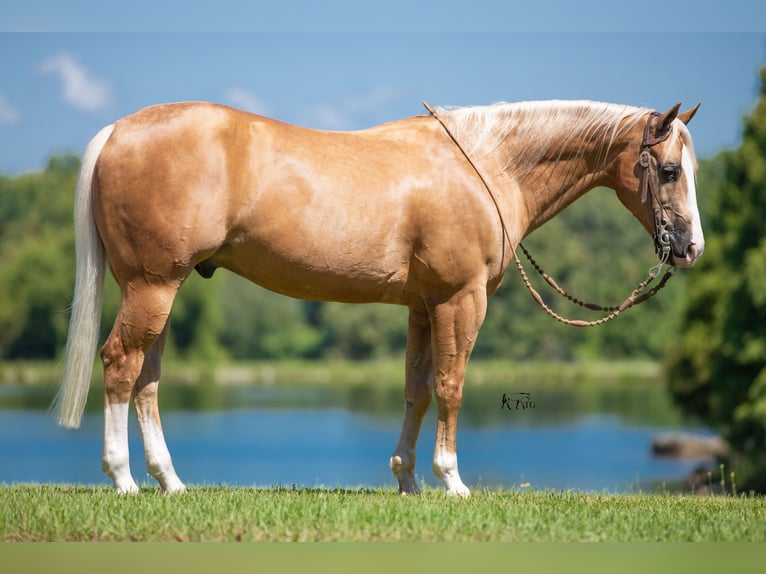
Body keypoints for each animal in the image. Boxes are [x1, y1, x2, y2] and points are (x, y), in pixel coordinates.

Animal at [54, 98, 704, 496]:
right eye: (670, 170)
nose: (691, 247)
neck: (486, 166)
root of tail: (118, 131)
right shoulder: (460, 300)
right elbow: (451, 385)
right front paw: (452, 481)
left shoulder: (423, 306)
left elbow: (417, 389)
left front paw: (408, 479)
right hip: (152, 285)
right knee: (120, 364)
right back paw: (123, 479)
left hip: (162, 288)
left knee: (148, 377)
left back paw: (169, 481)